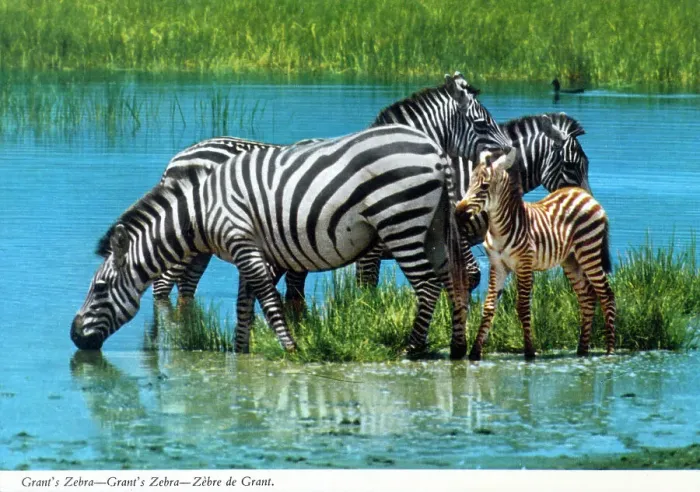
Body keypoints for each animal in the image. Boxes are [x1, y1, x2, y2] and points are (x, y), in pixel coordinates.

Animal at [72, 123, 506, 359]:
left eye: (100, 288)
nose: (74, 336)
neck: (201, 209)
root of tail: (437, 152)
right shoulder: (247, 247)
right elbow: (245, 303)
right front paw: (241, 351)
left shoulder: (242, 242)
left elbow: (266, 296)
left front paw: (290, 347)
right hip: (432, 227)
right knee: (451, 279)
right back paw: (456, 347)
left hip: (401, 221)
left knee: (428, 285)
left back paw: (411, 348)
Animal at [354, 111, 591, 287]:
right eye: (571, 165)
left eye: (587, 165)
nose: (586, 209)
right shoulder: (459, 234)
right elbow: (469, 275)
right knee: (367, 278)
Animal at [454, 148, 615, 361]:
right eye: (470, 183)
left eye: (484, 186)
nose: (457, 213)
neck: (499, 228)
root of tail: (583, 194)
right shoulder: (498, 265)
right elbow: (488, 307)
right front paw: (474, 352)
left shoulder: (524, 263)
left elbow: (523, 307)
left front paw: (529, 352)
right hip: (571, 260)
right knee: (587, 298)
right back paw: (582, 350)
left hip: (589, 253)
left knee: (607, 295)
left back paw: (610, 351)